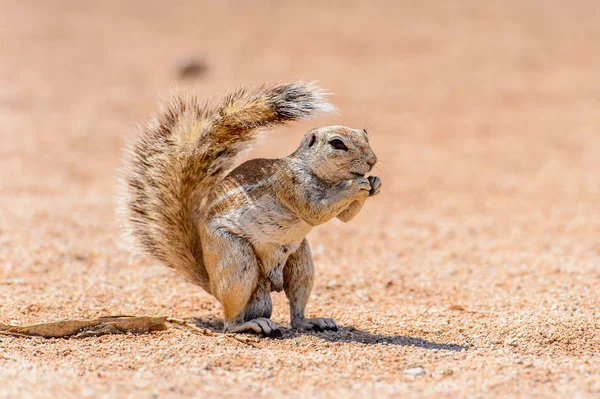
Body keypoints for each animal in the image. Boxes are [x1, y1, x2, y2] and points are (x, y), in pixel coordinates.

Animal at [118, 81, 380, 338]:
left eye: (365, 134)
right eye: (337, 143)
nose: (372, 161)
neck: (319, 175)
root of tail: (212, 284)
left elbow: (345, 217)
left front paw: (375, 183)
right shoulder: (292, 185)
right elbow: (316, 210)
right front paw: (355, 186)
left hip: (300, 263)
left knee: (296, 314)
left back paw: (313, 321)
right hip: (237, 261)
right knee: (230, 322)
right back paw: (250, 325)